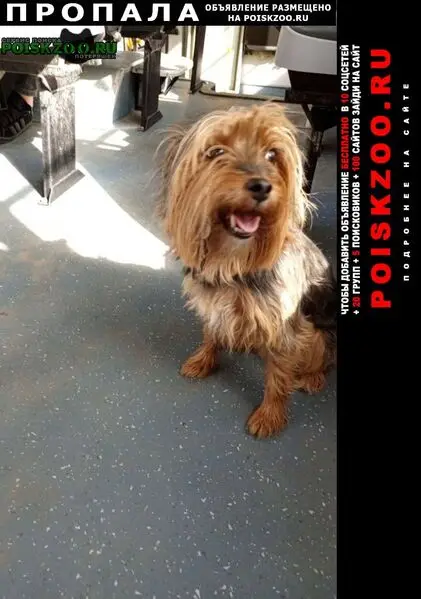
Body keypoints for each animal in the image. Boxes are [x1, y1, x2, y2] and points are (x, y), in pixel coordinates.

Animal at [156, 103, 336, 438]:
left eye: (272, 155)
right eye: (215, 151)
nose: (262, 186)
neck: (233, 262)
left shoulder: (285, 325)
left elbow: (278, 376)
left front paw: (269, 415)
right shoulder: (213, 305)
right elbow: (211, 334)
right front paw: (203, 361)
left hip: (320, 334)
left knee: (324, 357)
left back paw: (312, 378)